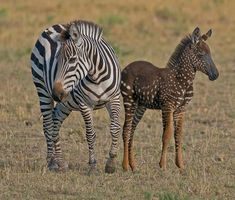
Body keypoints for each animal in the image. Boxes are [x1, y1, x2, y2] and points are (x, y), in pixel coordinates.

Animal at [30, 20, 121, 173]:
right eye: (57, 60)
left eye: (72, 60)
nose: (56, 93)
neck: (96, 77)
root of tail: (54, 26)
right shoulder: (84, 103)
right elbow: (90, 134)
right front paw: (93, 166)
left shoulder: (114, 99)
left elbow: (115, 128)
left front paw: (111, 163)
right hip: (42, 89)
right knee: (48, 124)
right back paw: (52, 162)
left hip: (65, 102)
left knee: (55, 121)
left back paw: (60, 161)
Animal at [121, 27, 218, 170]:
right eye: (200, 54)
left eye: (210, 53)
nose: (216, 75)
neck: (182, 80)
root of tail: (126, 67)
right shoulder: (167, 106)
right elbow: (167, 135)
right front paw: (163, 165)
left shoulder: (181, 109)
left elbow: (179, 134)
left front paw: (180, 164)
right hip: (129, 100)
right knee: (126, 129)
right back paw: (125, 165)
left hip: (141, 105)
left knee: (132, 128)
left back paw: (133, 165)